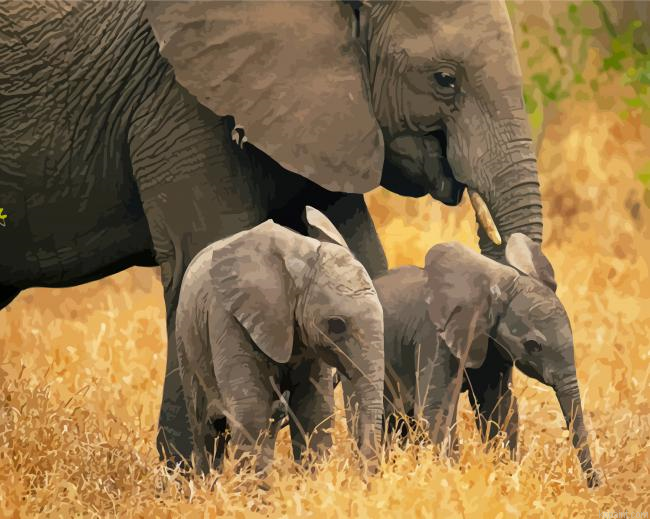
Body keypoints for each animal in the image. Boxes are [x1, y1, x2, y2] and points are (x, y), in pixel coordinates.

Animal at [175, 207, 384, 473]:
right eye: (337, 324)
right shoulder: (227, 318)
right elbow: (251, 411)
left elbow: (313, 410)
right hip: (187, 347)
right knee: (207, 431)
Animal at [345, 234, 600, 487]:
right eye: (533, 345)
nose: (595, 484)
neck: (500, 287)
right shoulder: (434, 336)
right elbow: (434, 408)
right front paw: (446, 476)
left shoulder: (494, 347)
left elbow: (497, 408)